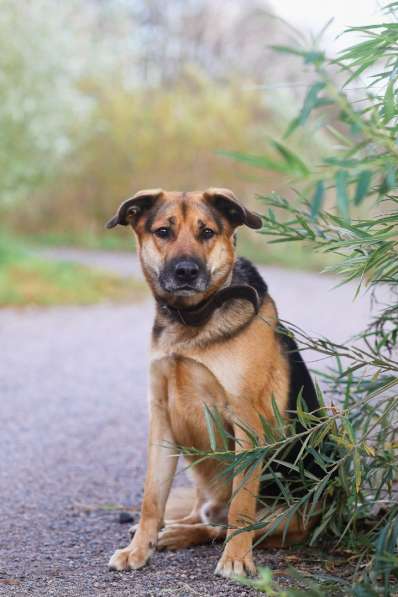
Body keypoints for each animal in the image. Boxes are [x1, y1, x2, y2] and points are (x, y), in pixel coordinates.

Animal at [105, 189, 324, 576]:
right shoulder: (162, 419)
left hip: (288, 513)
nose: (186, 271)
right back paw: (170, 530)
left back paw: (183, 535)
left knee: (220, 525)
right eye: (163, 232)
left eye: (206, 232)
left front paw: (236, 559)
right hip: (201, 473)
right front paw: (139, 549)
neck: (192, 318)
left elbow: (242, 508)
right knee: (202, 513)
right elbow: (152, 498)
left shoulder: (248, 425)